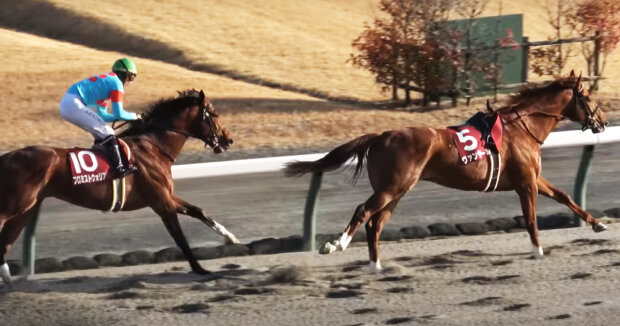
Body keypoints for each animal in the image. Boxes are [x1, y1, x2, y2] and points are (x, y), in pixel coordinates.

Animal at [0, 88, 236, 282]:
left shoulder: (166, 196)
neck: (154, 147)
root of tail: (6, 157)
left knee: (6, 241)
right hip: (16, 205)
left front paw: (230, 237)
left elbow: (198, 210)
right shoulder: (161, 202)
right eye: (214, 114)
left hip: (26, 209)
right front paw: (200, 269)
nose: (228, 140)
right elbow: (180, 238)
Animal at [286, 71, 612, 272]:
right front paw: (537, 251)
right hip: (392, 188)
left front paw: (598, 223)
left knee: (375, 224)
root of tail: (380, 136)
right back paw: (336, 245)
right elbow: (531, 219)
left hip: (397, 191)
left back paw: (376, 266)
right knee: (362, 212)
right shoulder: (525, 183)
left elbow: (564, 196)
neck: (522, 126)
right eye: (588, 97)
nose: (604, 122)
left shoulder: (532, 178)